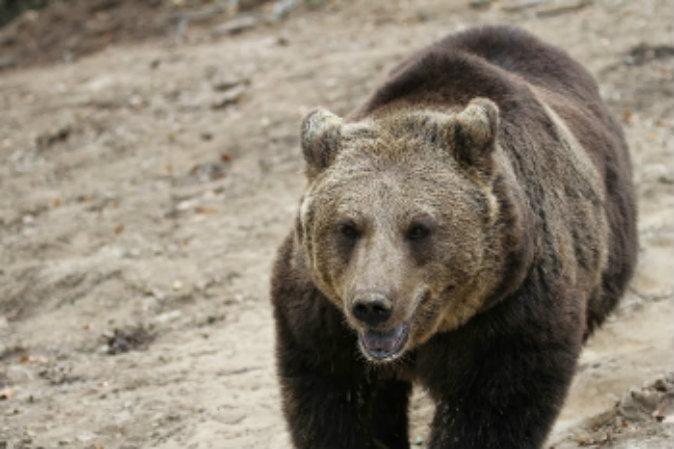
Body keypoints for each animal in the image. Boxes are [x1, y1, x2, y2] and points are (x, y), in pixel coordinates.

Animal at [270, 25, 637, 449]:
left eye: (419, 228)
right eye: (347, 227)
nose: (372, 305)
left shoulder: (513, 310)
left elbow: (492, 409)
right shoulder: (323, 321)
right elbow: (339, 405)